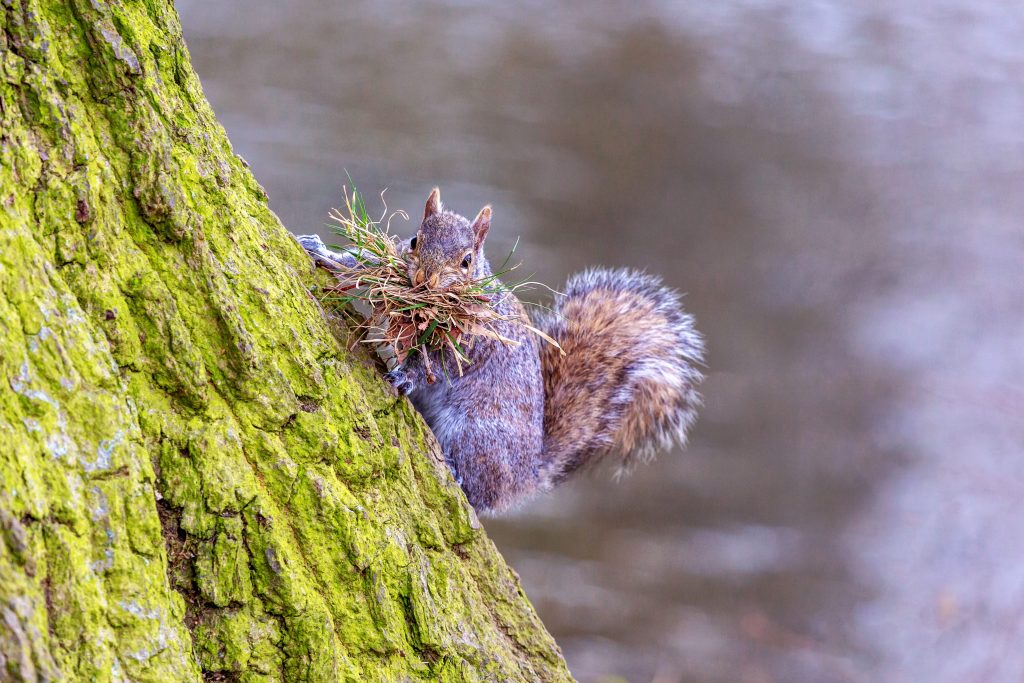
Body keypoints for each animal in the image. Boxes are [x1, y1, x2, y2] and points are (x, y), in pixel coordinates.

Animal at [296, 188, 704, 513]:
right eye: (414, 241)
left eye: (466, 261)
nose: (424, 280)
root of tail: (527, 475)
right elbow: (362, 267)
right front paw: (322, 251)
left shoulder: (473, 342)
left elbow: (438, 364)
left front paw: (405, 374)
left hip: (478, 435)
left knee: (483, 494)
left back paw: (460, 478)